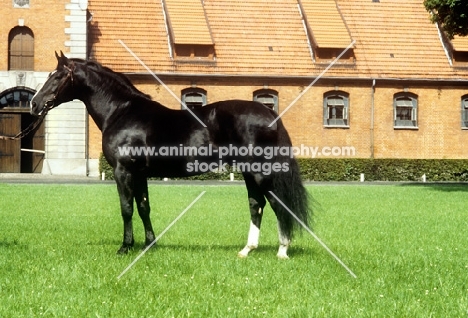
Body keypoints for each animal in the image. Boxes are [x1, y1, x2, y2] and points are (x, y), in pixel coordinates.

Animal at [32, 52, 310, 258]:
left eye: (58, 76)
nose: (35, 103)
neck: (121, 112)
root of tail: (270, 113)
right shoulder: (139, 174)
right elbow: (144, 207)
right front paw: (149, 244)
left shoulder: (123, 171)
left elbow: (126, 208)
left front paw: (125, 247)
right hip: (248, 172)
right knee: (256, 204)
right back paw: (246, 250)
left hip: (260, 172)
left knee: (276, 204)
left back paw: (282, 251)